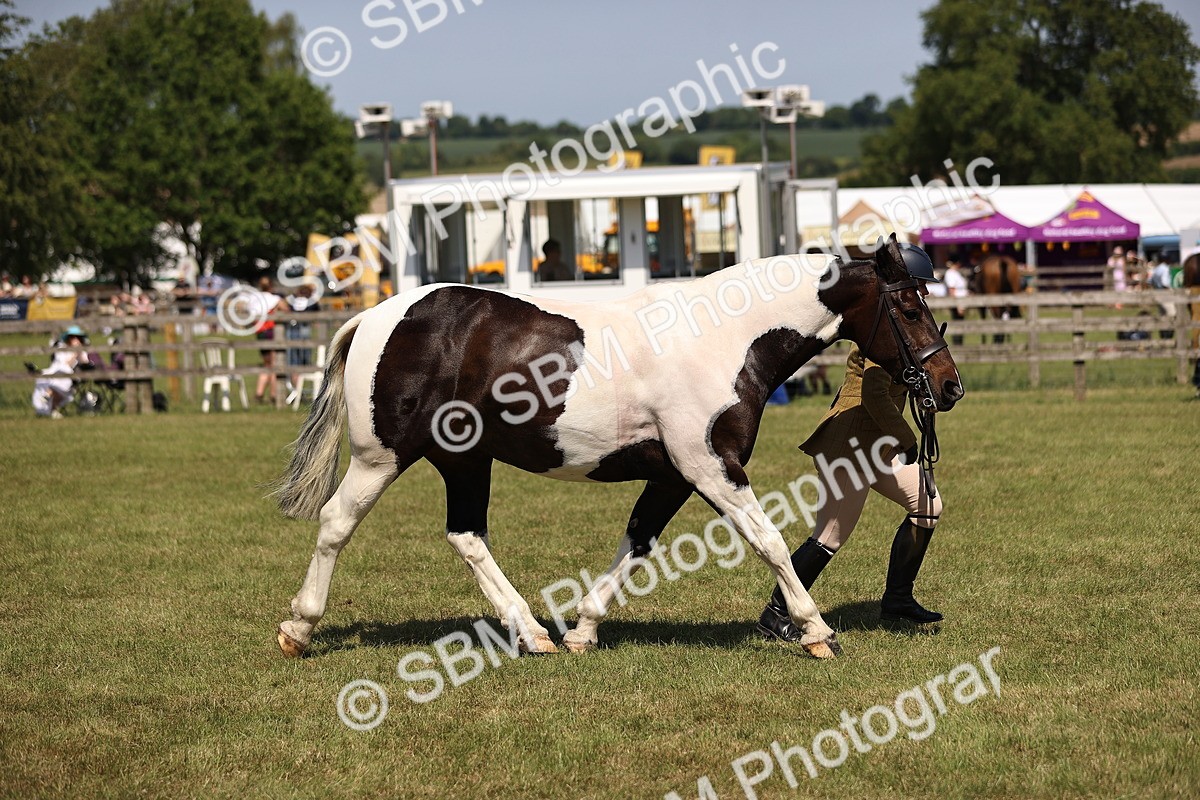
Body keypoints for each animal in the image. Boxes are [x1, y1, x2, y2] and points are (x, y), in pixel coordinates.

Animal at [272, 236, 963, 662]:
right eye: (908, 307)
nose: (949, 385)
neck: (724, 337)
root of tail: (378, 316)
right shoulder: (711, 467)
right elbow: (767, 539)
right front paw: (817, 630)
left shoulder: (675, 474)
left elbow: (638, 540)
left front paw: (582, 628)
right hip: (381, 458)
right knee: (337, 524)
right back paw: (299, 628)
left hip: (465, 461)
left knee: (466, 536)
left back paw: (534, 632)